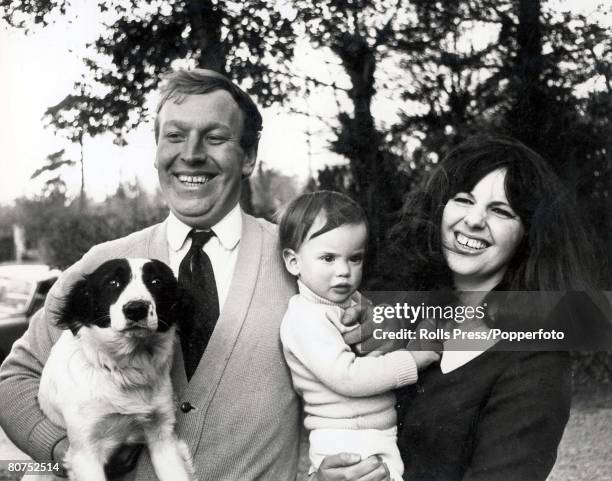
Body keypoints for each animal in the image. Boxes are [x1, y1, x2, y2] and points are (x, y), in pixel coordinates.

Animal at [38, 258, 196, 480]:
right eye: (112, 282)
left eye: (156, 281)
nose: (136, 308)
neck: (125, 368)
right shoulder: (85, 451)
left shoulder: (162, 435)